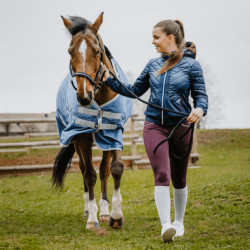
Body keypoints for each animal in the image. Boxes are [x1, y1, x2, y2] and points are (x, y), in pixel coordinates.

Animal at [51, 12, 132, 230]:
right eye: (70, 51)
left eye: (97, 51)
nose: (83, 95)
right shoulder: (82, 136)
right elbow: (89, 175)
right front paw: (93, 218)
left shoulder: (113, 131)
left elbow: (114, 168)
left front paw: (115, 215)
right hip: (76, 141)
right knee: (83, 170)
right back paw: (89, 209)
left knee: (103, 170)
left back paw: (104, 211)